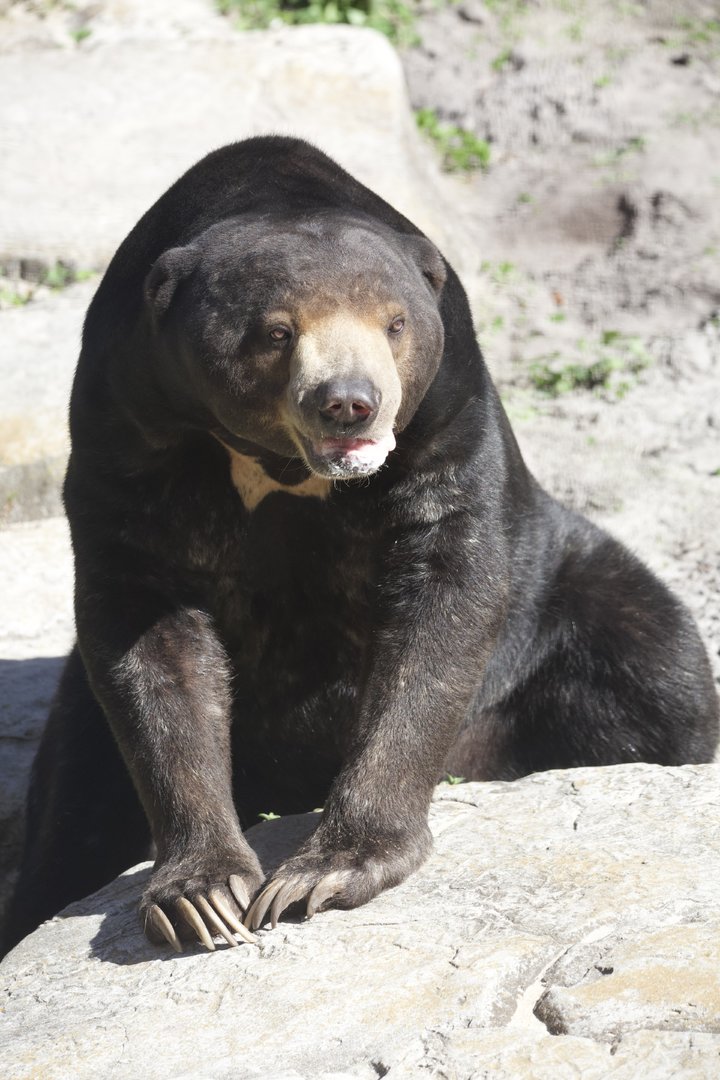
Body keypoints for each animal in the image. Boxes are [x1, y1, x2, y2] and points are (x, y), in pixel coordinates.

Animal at [3, 136, 718, 955]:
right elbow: (151, 638)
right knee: (71, 818)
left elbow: (442, 601)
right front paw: (202, 896)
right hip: (79, 718)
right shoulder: (126, 425)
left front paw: (325, 871)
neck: (282, 466)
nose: (349, 401)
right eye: (278, 331)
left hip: (565, 592)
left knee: (661, 674)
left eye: (395, 323)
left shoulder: (445, 414)